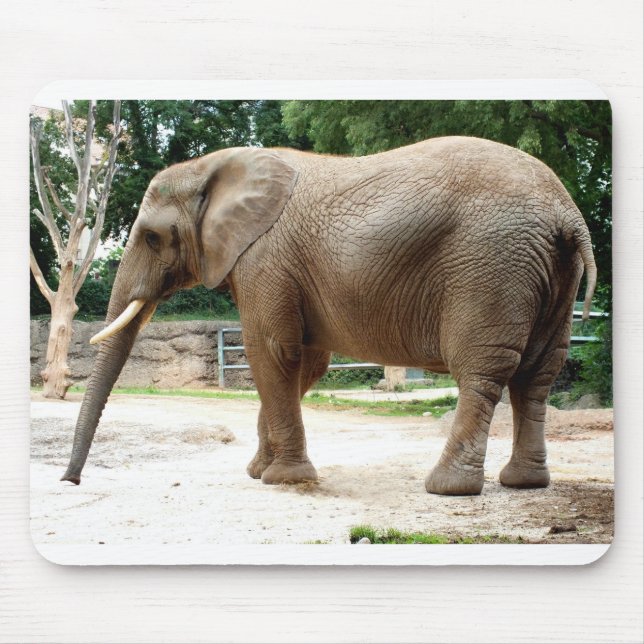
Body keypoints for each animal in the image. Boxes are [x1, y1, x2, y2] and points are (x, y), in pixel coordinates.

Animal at [62, 136, 596, 496]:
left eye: (152, 238)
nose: (70, 481)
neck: (213, 167)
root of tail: (567, 215)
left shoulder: (265, 258)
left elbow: (271, 352)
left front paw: (283, 479)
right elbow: (305, 364)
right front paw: (259, 471)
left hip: (490, 266)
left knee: (482, 372)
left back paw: (448, 487)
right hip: (549, 273)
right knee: (539, 374)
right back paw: (525, 483)